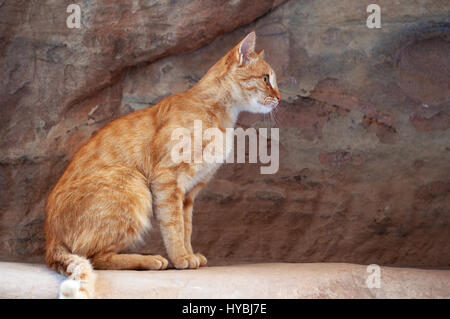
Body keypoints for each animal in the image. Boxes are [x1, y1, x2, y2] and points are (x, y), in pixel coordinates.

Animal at [44, 31, 280, 298]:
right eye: (266, 79)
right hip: (133, 183)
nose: (279, 98)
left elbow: (186, 227)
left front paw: (189, 254)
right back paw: (149, 260)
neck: (221, 118)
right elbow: (173, 224)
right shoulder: (167, 179)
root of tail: (50, 241)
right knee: (94, 256)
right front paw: (180, 258)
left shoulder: (189, 192)